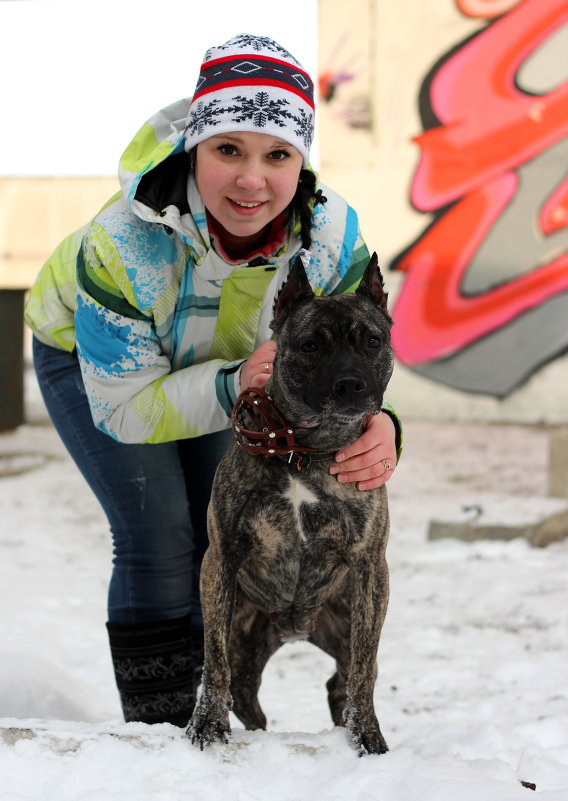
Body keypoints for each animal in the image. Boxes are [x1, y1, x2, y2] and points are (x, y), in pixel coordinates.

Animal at [189, 253, 392, 752]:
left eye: (373, 341)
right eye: (310, 344)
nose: (350, 384)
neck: (304, 451)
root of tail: (294, 627)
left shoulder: (370, 567)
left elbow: (365, 670)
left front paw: (367, 736)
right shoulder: (221, 559)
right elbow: (213, 659)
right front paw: (206, 725)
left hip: (342, 620)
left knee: (345, 679)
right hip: (246, 638)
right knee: (244, 695)